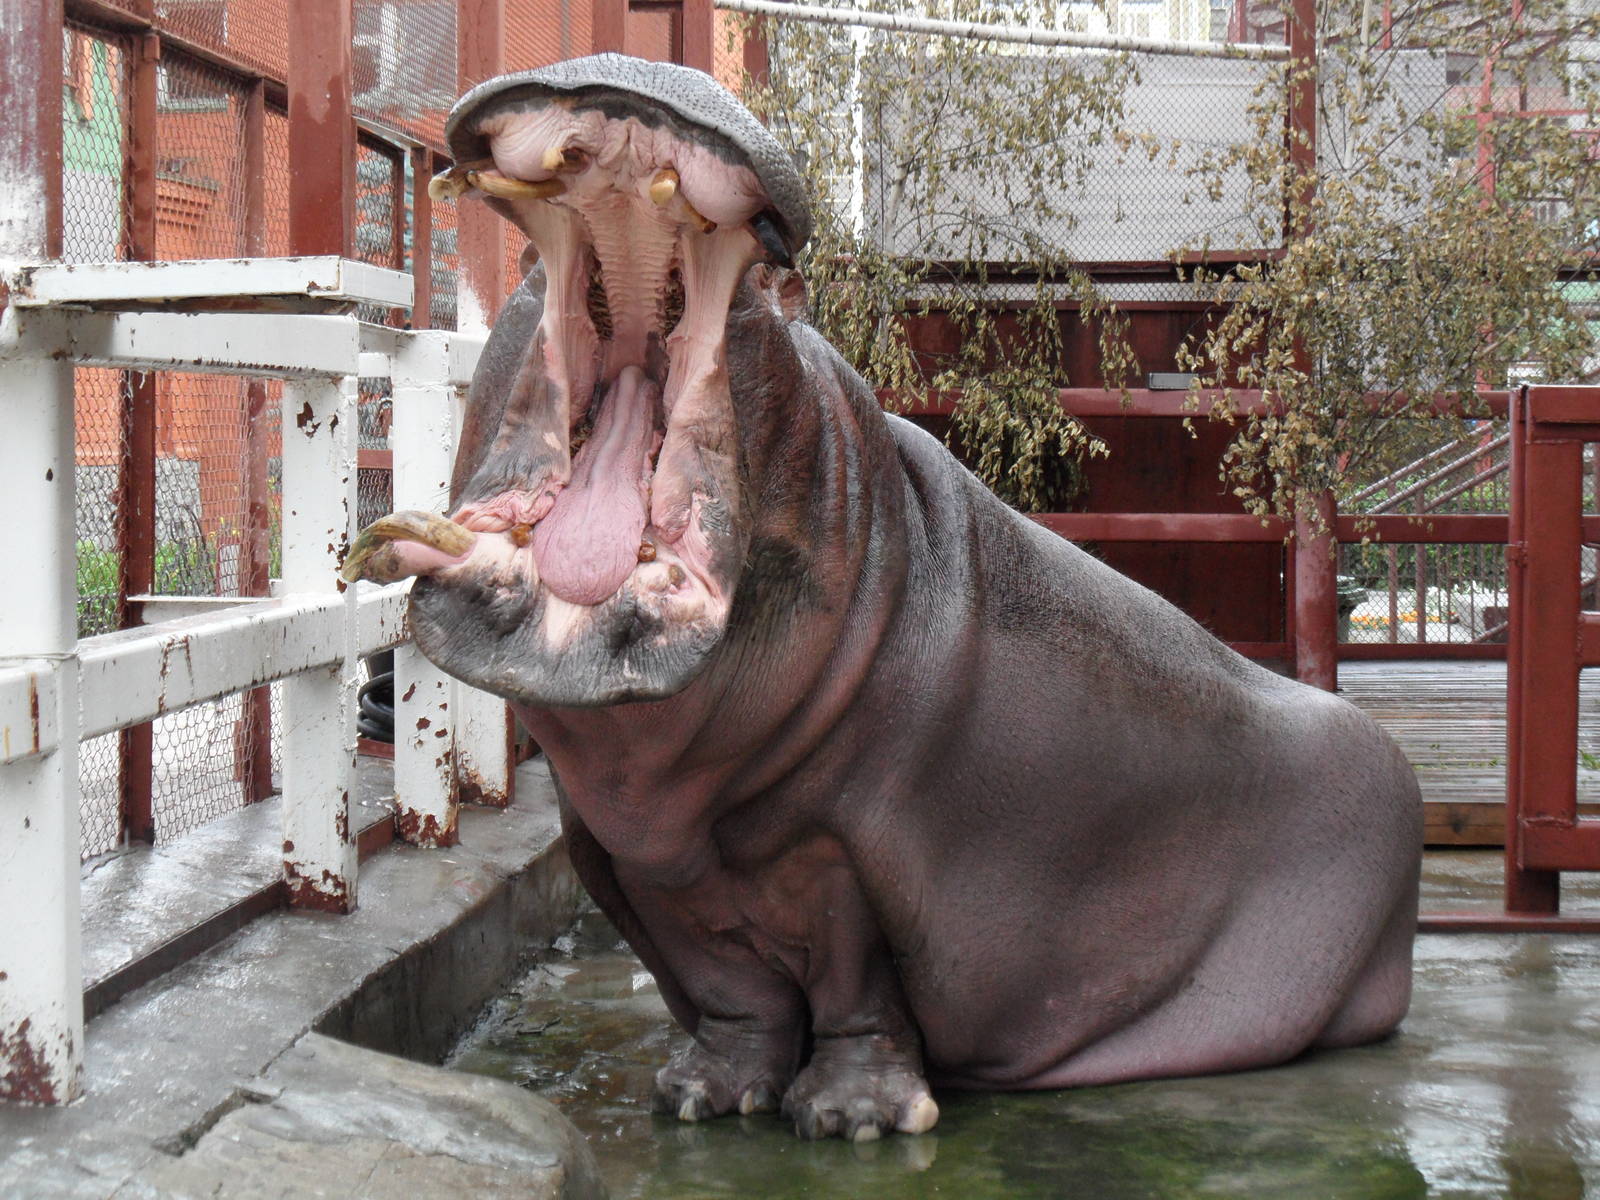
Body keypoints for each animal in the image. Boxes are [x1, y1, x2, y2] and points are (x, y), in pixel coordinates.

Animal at [344, 54, 1422, 1143]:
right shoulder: (631, 863)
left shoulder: (856, 851)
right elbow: (732, 993)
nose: (647, 66)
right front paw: (698, 1096)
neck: (669, 808)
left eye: (777, 294)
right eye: (525, 272)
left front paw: (849, 1118)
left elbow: (858, 984)